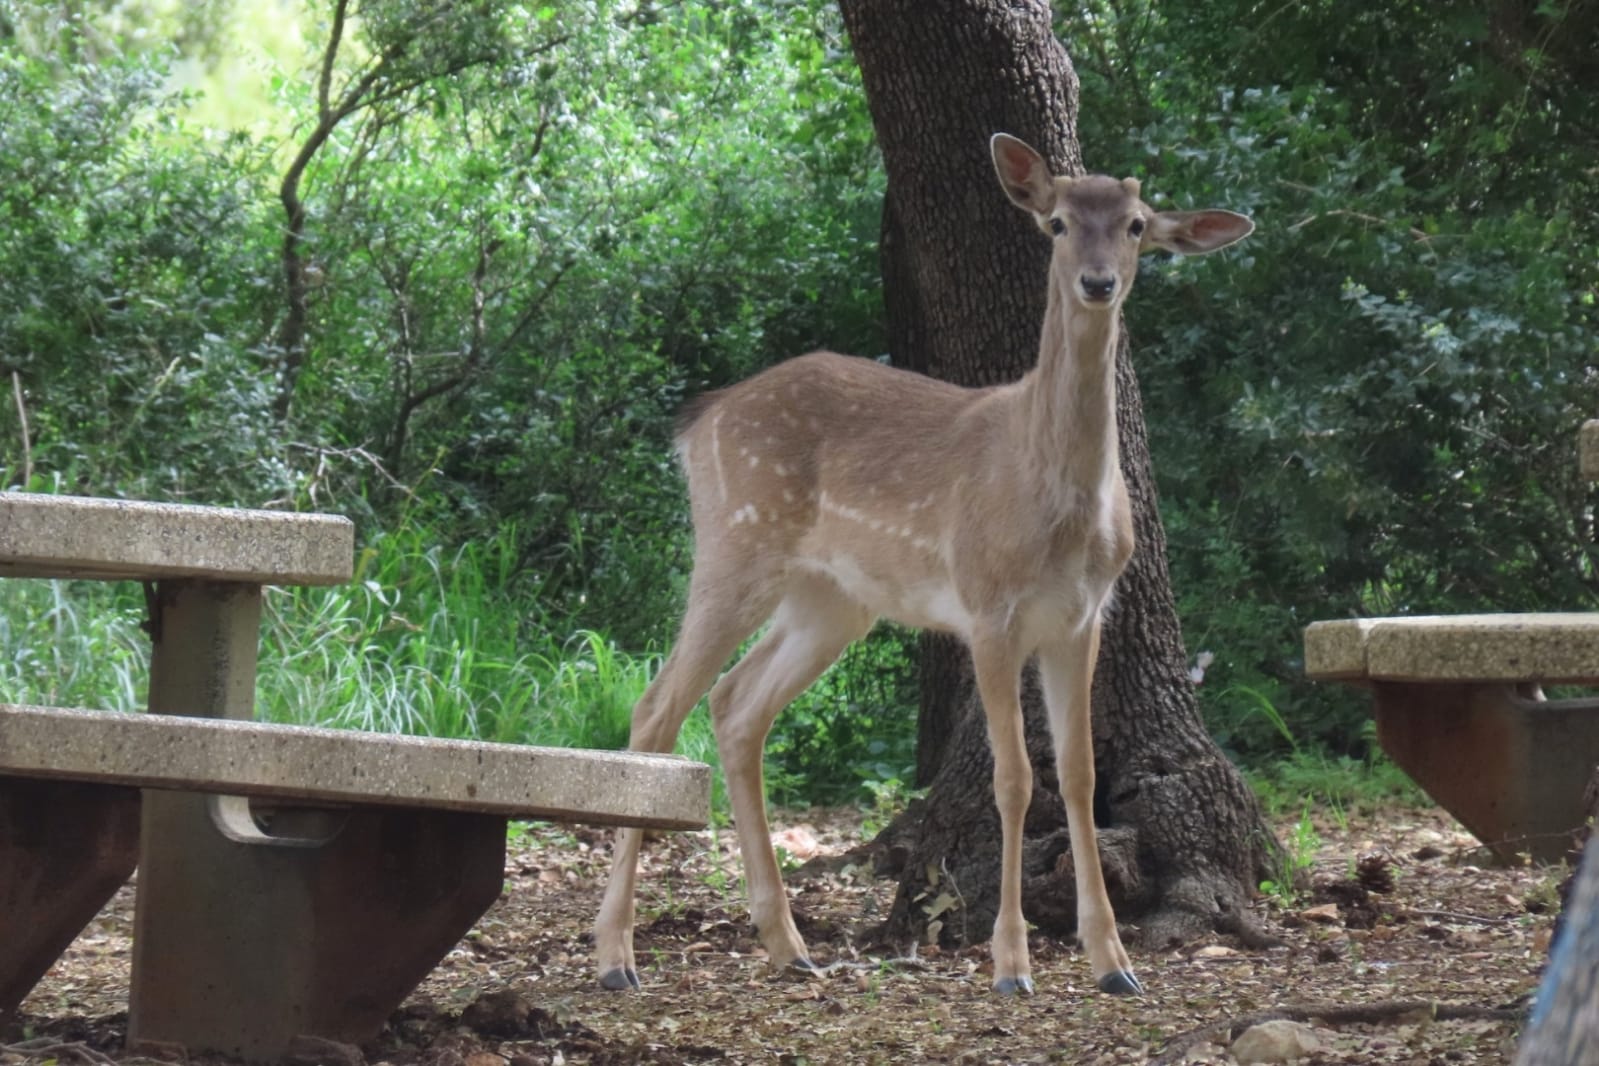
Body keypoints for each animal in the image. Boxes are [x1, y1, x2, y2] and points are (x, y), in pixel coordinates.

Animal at [594, 135, 1253, 1003]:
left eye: (1137, 224)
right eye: (1055, 222)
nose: (1097, 282)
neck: (1058, 502)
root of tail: (697, 420)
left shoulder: (1081, 616)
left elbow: (1078, 775)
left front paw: (1113, 961)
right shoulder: (987, 606)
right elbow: (1015, 778)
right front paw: (1010, 965)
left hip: (831, 600)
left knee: (736, 705)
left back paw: (788, 944)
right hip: (735, 542)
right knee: (656, 707)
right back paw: (615, 955)